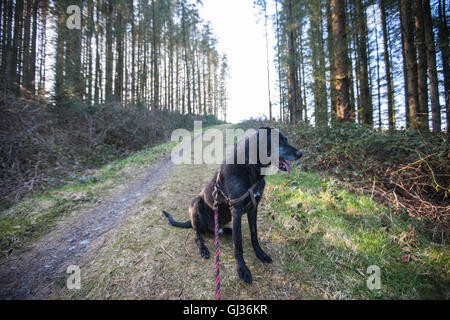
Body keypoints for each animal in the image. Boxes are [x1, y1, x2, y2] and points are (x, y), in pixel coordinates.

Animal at [163, 127, 302, 282]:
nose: (300, 154)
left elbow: (254, 235)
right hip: (196, 204)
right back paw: (203, 248)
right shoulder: (236, 211)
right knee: (197, 235)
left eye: (286, 139)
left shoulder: (253, 208)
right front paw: (242, 269)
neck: (251, 166)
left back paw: (227, 231)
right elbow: (238, 245)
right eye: (279, 140)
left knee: (224, 231)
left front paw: (260, 254)